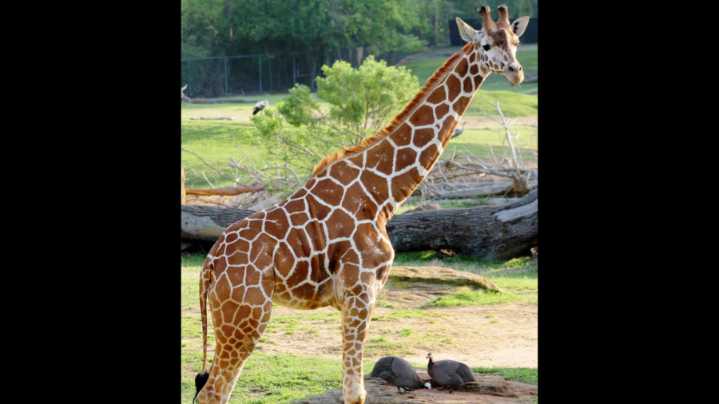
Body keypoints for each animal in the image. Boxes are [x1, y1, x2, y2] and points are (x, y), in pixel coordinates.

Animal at [193, 5, 531, 404]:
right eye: (485, 44)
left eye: (516, 40)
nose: (516, 71)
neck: (382, 193)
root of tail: (208, 267)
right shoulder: (360, 291)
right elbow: (355, 393)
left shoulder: (360, 296)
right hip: (246, 315)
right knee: (214, 391)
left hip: (235, 316)